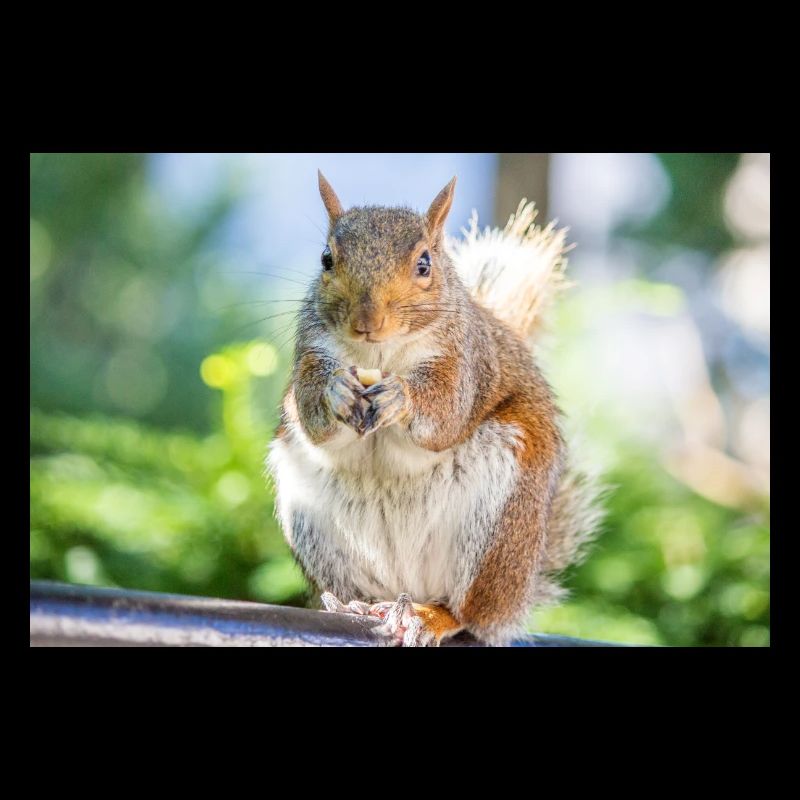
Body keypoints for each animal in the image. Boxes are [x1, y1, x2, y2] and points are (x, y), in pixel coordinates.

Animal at [266, 171, 602, 646]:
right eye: (327, 259)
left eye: (424, 264)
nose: (367, 323)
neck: (381, 355)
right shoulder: (312, 352)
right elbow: (313, 419)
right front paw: (336, 391)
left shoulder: (465, 363)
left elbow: (445, 414)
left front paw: (401, 396)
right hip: (317, 529)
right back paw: (357, 605)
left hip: (498, 532)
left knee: (468, 611)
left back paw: (429, 616)